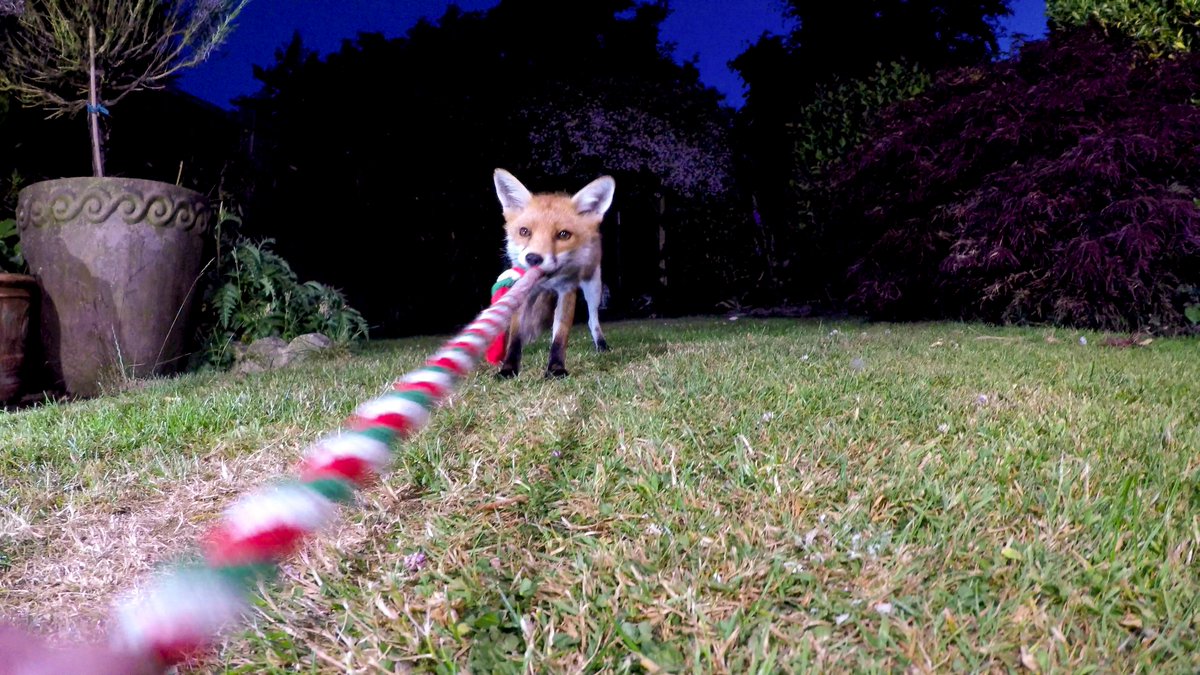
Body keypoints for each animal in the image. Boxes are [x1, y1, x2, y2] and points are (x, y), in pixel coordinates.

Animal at [492, 168, 615, 378]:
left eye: (563, 235)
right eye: (524, 232)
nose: (533, 258)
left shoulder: (567, 291)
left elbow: (560, 335)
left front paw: (556, 368)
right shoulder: (523, 291)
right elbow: (515, 336)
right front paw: (508, 368)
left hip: (593, 286)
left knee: (592, 320)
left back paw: (601, 345)